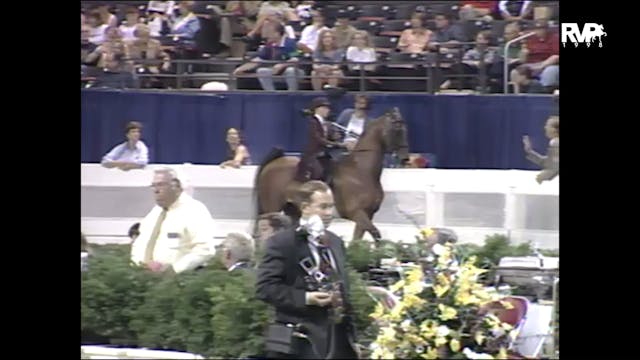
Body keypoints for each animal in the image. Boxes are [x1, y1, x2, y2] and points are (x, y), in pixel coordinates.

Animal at [251, 107, 408, 242]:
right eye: (397, 129)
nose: (405, 158)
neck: (361, 172)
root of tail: (274, 162)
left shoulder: (367, 214)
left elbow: (358, 241)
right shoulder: (357, 213)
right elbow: (376, 235)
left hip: (293, 210)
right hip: (271, 207)